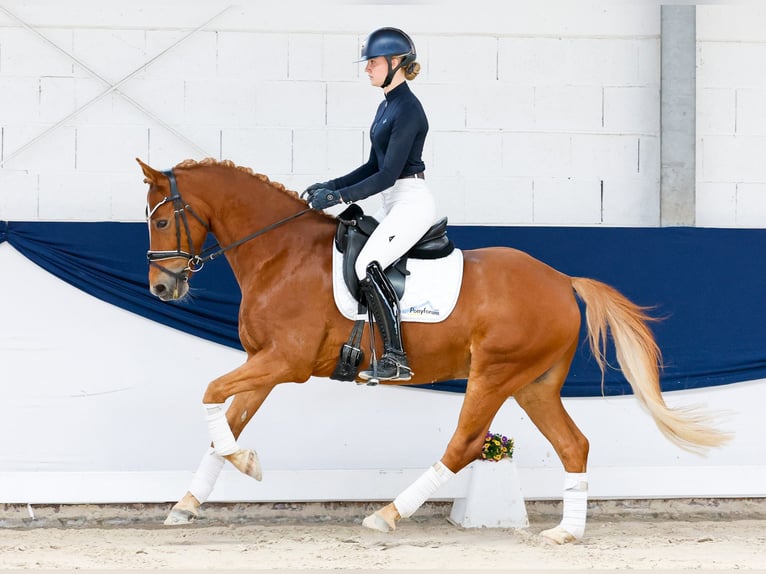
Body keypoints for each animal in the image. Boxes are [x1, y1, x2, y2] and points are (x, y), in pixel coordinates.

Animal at [138, 157, 730, 544]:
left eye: (162, 219)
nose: (162, 289)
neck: (279, 255)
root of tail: (563, 281)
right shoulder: (262, 364)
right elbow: (224, 423)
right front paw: (189, 503)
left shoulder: (286, 362)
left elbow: (210, 395)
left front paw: (245, 465)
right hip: (534, 384)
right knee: (573, 444)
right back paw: (566, 533)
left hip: (494, 375)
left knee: (465, 444)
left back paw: (388, 514)